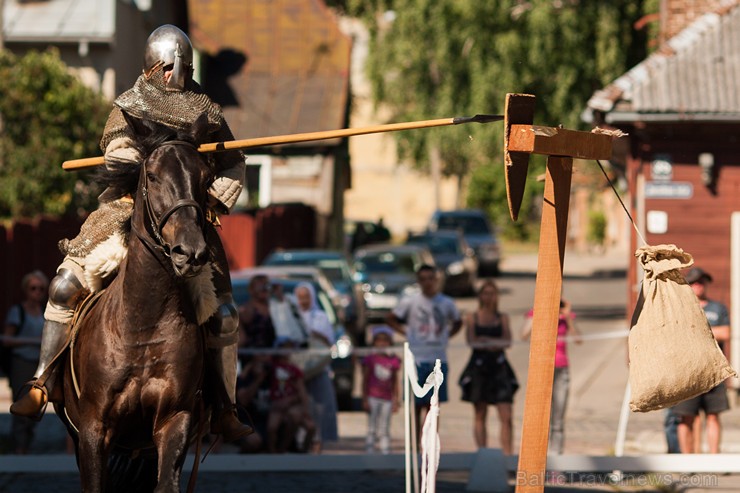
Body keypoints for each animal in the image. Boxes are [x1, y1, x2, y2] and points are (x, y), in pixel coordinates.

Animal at [57, 112, 214, 492]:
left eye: (205, 178)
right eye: (153, 175)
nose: (191, 252)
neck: (144, 325)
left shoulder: (174, 420)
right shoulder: (93, 429)